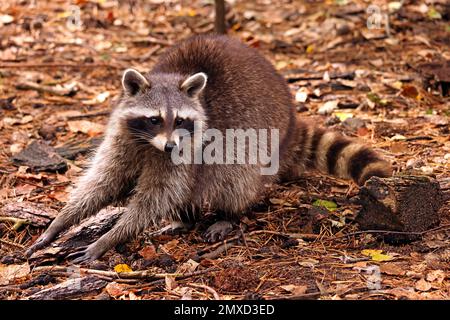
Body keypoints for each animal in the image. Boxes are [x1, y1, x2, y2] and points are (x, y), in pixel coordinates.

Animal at [25, 36, 390, 264]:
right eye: (154, 119)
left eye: (180, 120)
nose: (169, 144)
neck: (150, 145)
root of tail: (290, 115)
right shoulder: (124, 138)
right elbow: (102, 183)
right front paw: (60, 223)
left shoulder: (187, 149)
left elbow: (156, 196)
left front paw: (109, 238)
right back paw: (185, 220)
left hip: (259, 134)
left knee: (233, 170)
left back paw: (229, 214)